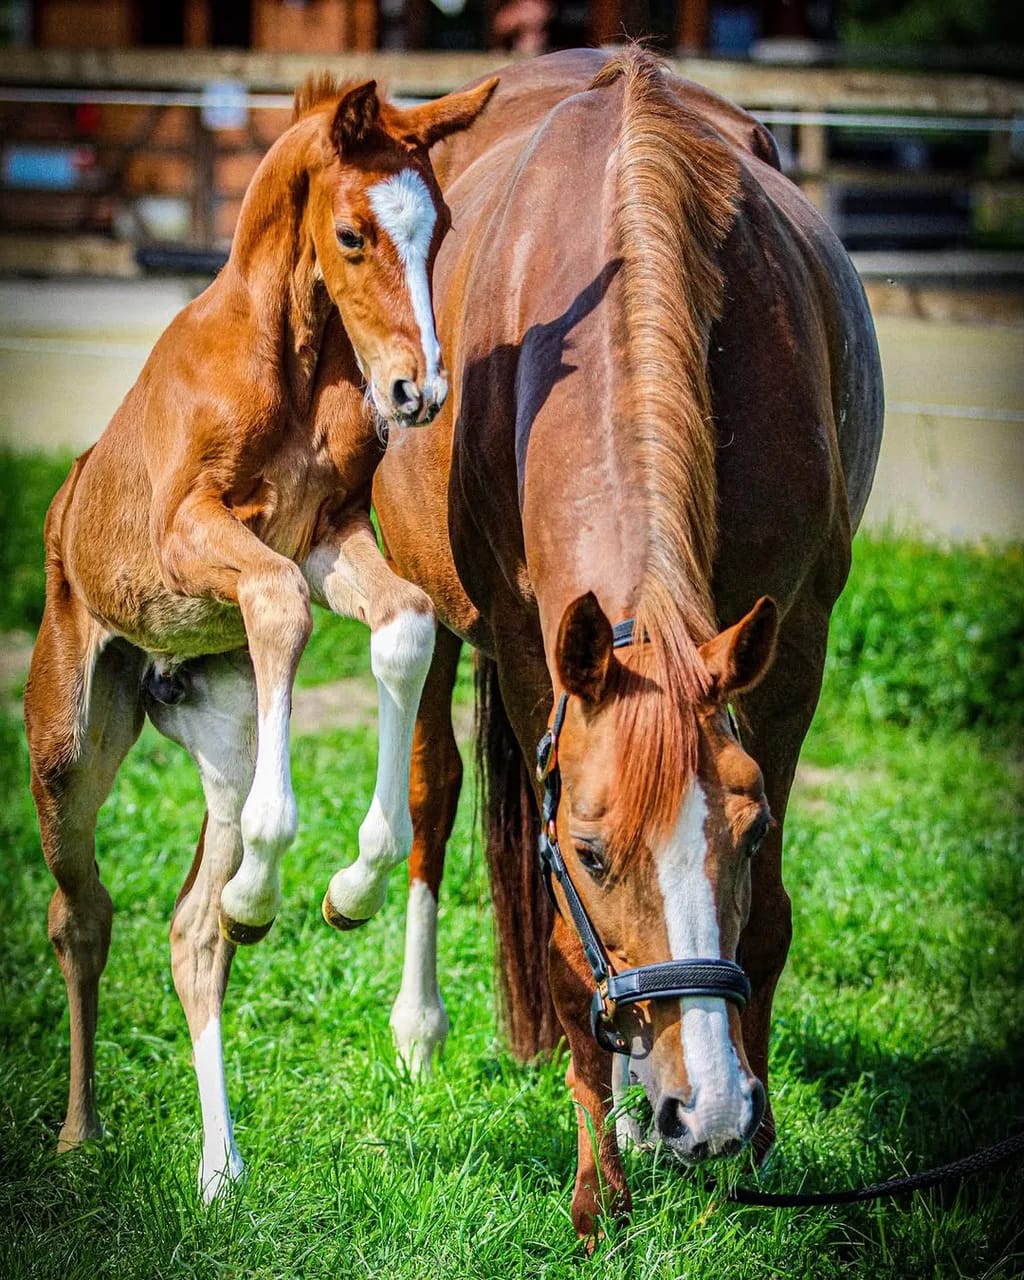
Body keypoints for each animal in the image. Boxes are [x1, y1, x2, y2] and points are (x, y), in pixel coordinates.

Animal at [23, 71, 496, 1200]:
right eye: (353, 234)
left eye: (439, 228)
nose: (420, 392)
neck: (288, 363)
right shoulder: (193, 533)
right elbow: (279, 603)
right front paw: (293, 866)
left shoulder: (329, 534)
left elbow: (404, 624)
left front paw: (347, 887)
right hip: (68, 742)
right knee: (81, 915)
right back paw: (79, 1131)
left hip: (225, 727)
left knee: (194, 934)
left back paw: (219, 1164)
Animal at [373, 47, 883, 1237]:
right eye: (595, 854)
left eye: (747, 833)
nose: (705, 1111)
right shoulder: (528, 647)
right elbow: (566, 952)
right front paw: (597, 1187)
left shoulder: (791, 638)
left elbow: (770, 915)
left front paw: (754, 1137)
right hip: (432, 606)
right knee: (431, 782)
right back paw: (423, 1028)